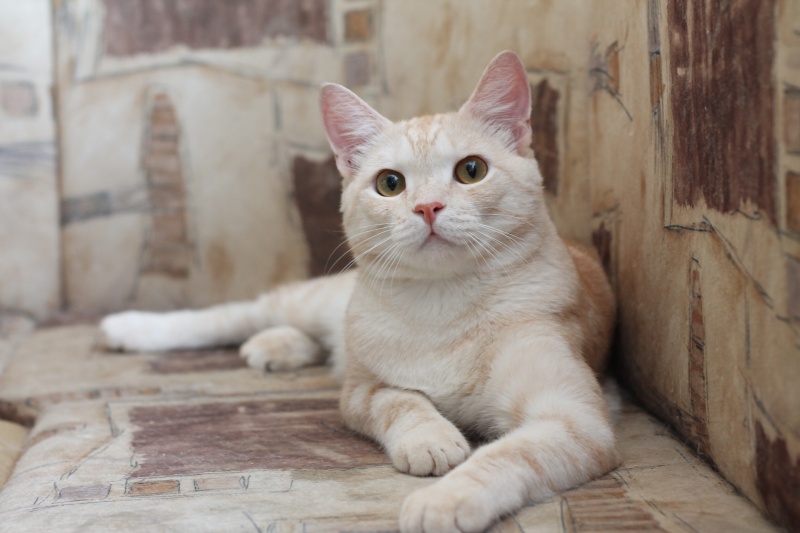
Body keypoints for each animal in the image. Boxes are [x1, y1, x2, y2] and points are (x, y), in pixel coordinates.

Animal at [101, 50, 618, 532]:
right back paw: (132, 327)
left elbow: (508, 455)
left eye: (472, 170)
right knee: (246, 312)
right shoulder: (361, 392)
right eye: (390, 183)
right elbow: (402, 402)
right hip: (313, 303)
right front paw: (430, 439)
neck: (444, 302)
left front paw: (444, 500)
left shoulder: (575, 422)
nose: (427, 207)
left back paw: (277, 347)